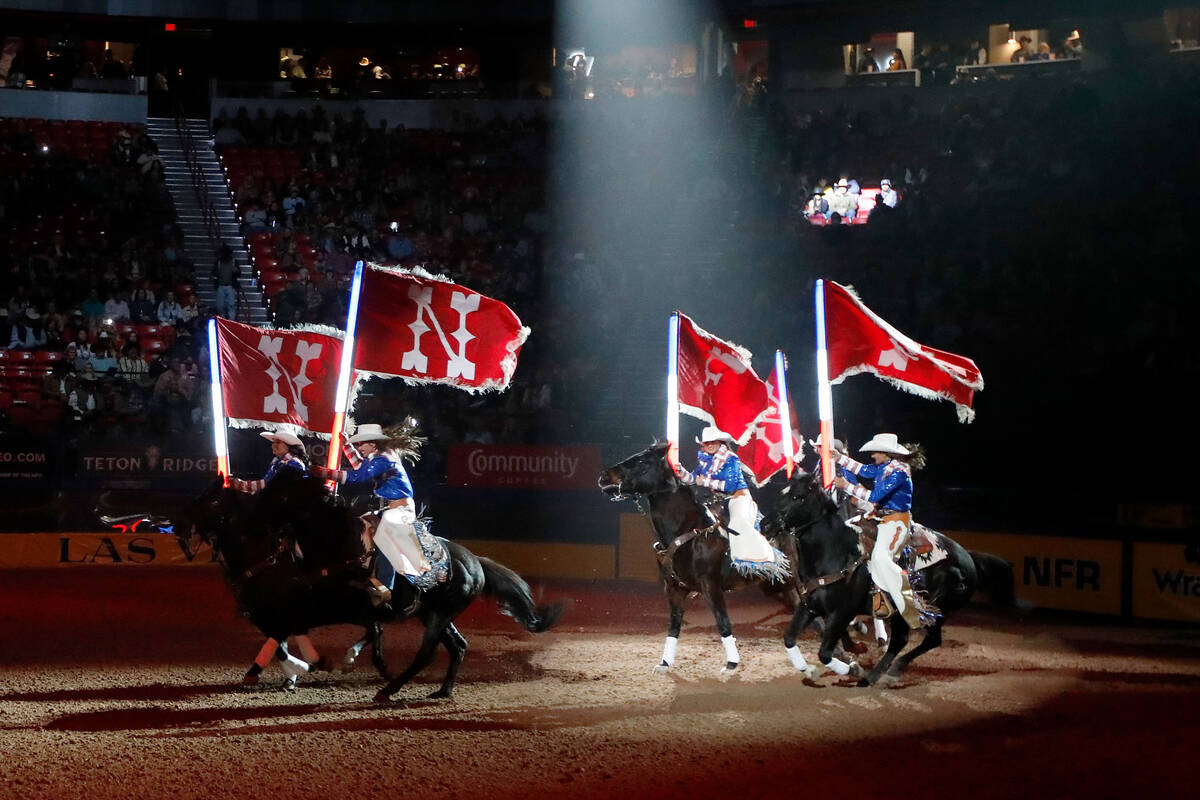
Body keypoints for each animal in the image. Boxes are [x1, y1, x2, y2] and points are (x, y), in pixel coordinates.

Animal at [186, 474, 561, 700]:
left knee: (427, 653)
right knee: (459, 646)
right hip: (434, 615)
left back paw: (389, 689)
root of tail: (474, 562)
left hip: (438, 615)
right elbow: (286, 640)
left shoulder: (324, 608)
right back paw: (442, 691)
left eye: (213, 501)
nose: (182, 522)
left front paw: (313, 665)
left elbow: (289, 641)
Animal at [597, 441, 801, 671]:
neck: (688, 531)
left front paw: (731, 664)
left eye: (642, 461)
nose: (604, 476)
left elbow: (723, 622)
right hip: (778, 587)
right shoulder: (674, 588)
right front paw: (664, 663)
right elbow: (674, 626)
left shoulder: (710, 585)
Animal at [768, 472, 1012, 686]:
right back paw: (881, 673)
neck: (836, 553)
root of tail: (969, 559)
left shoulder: (842, 613)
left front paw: (854, 668)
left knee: (928, 640)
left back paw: (880, 674)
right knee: (901, 641)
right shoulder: (810, 606)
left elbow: (825, 653)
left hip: (935, 610)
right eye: (782, 493)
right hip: (902, 613)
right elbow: (789, 638)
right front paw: (809, 670)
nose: (766, 525)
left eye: (798, 497)